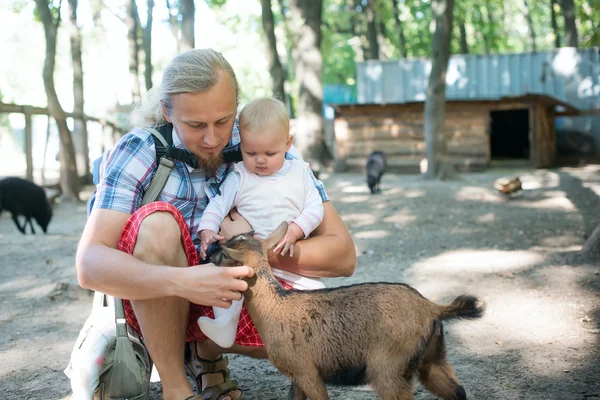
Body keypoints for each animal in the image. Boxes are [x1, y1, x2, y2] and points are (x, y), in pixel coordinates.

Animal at [213, 223, 486, 398]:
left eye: (225, 254)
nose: (209, 253)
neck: (276, 305)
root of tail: (431, 308)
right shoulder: (297, 376)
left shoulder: (307, 372)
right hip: (432, 359)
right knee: (457, 391)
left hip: (389, 369)